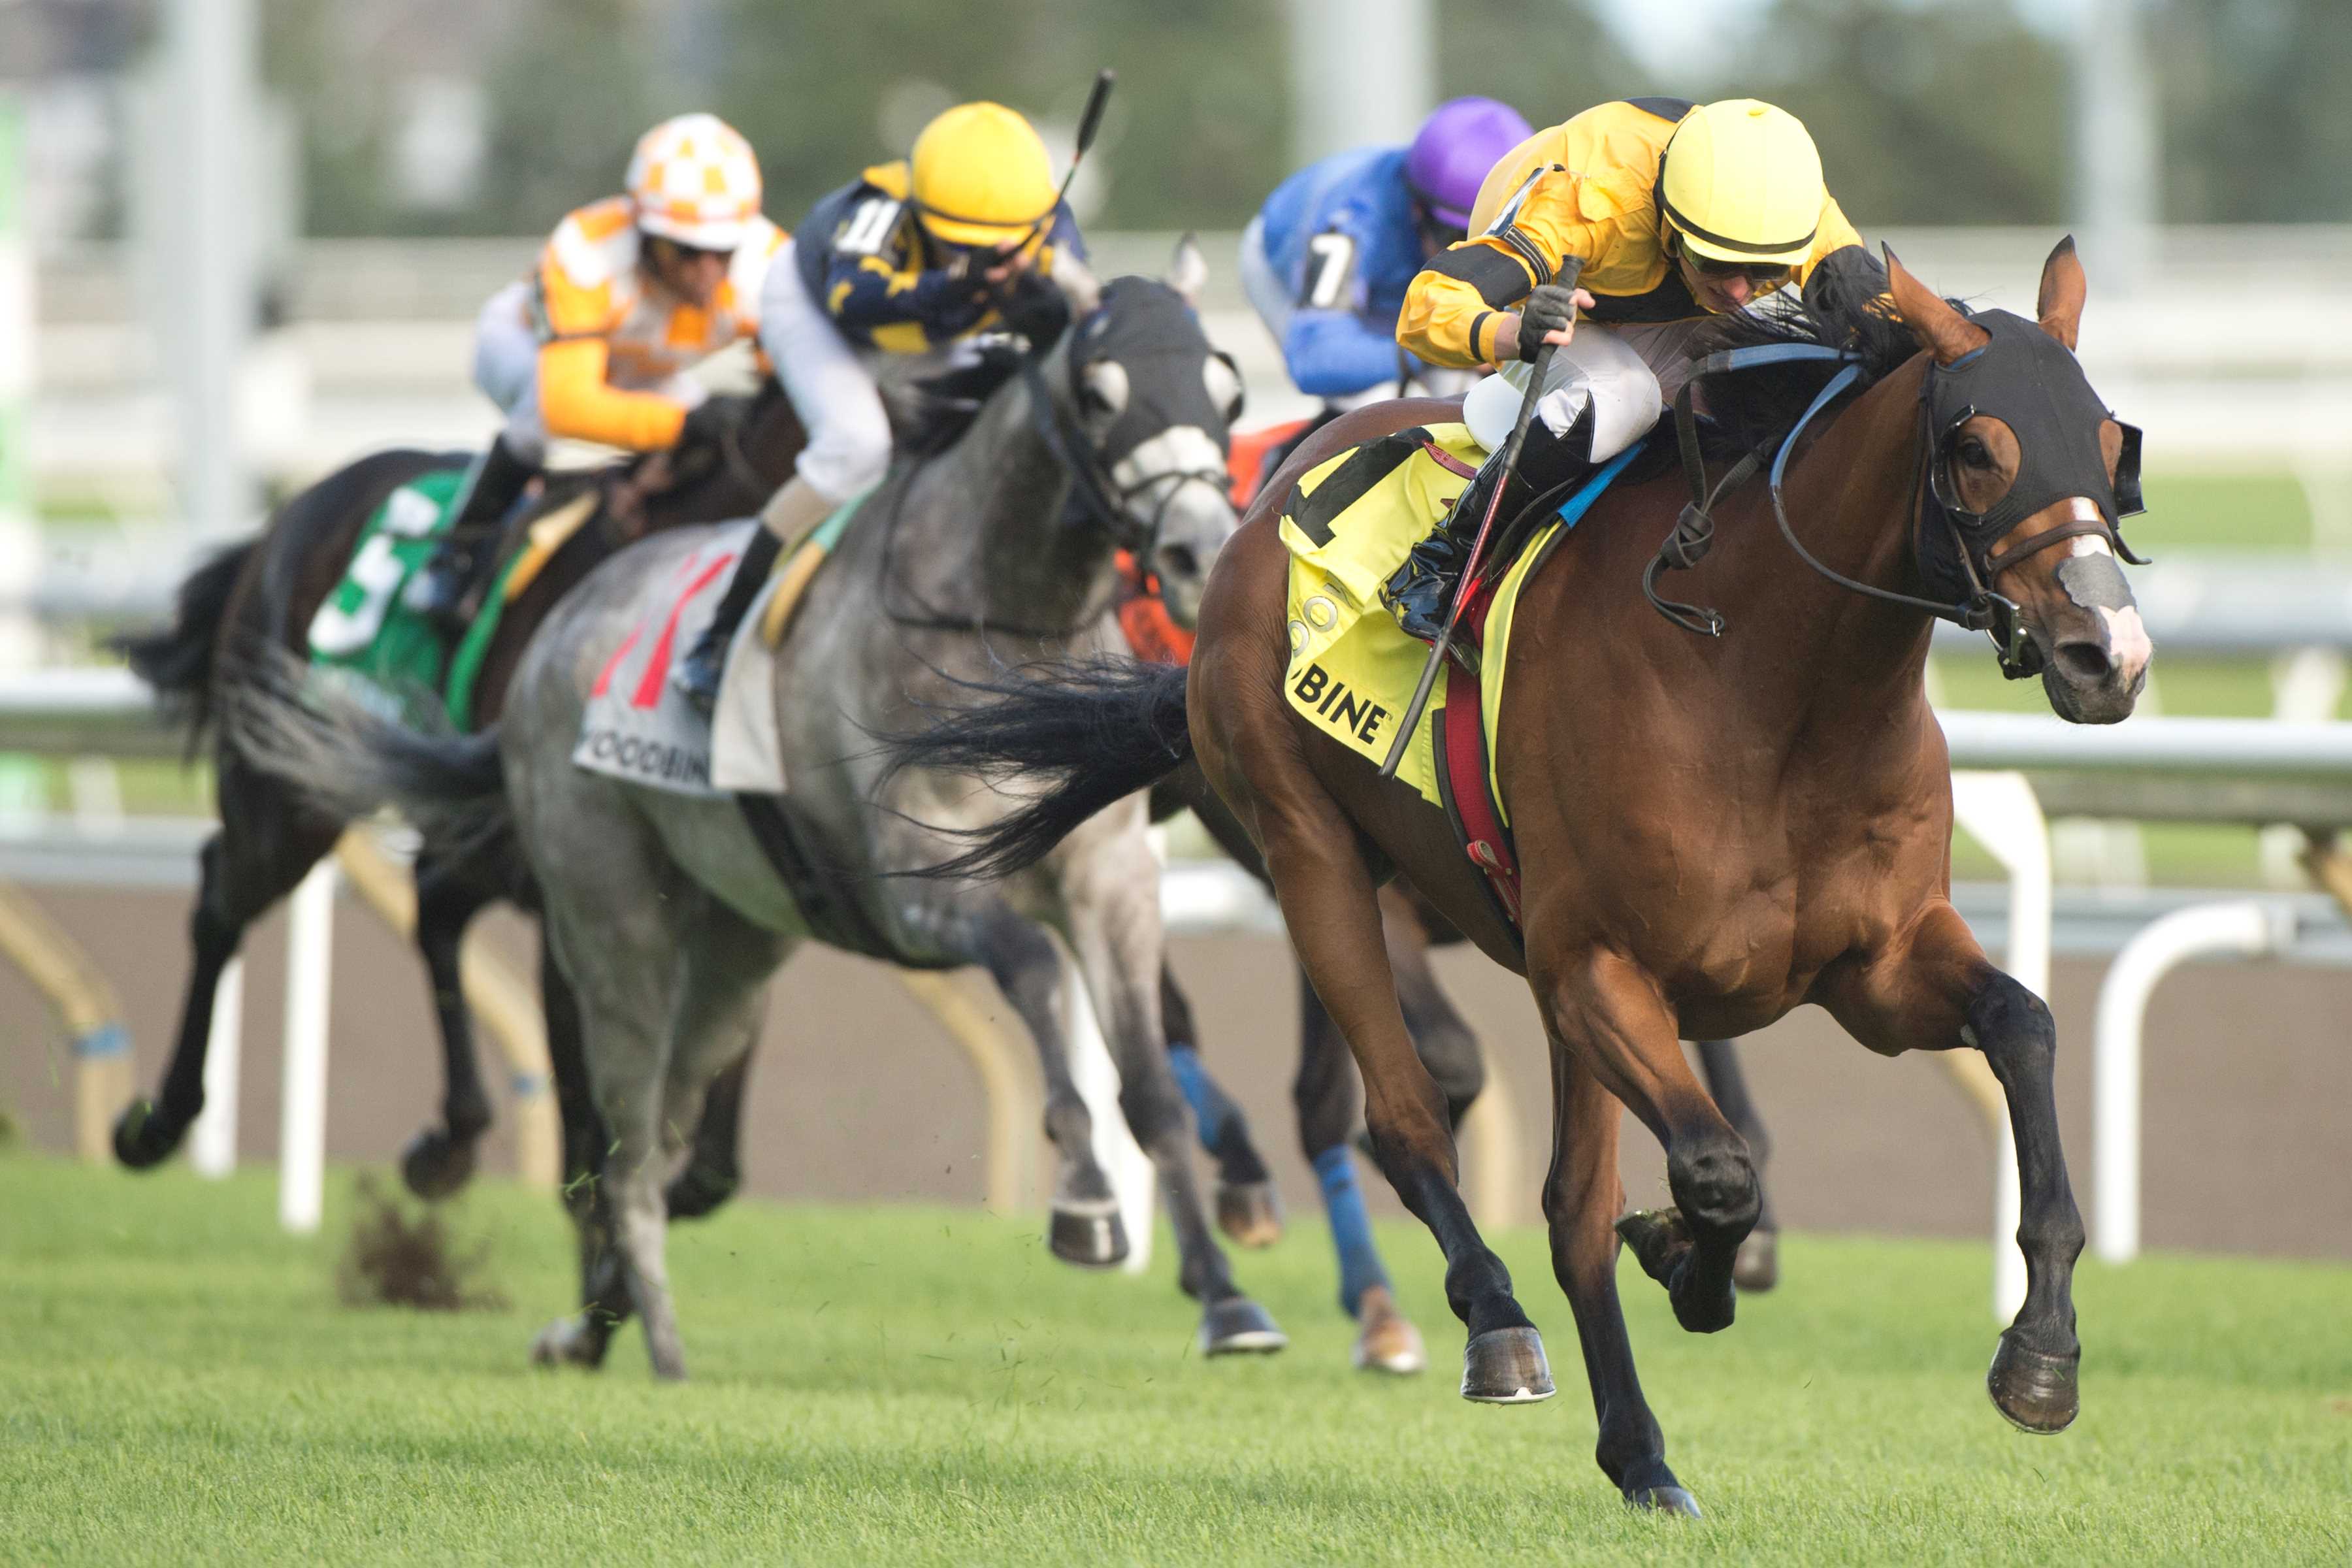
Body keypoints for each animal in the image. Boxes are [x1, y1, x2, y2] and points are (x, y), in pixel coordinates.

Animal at [246, 252, 1279, 1382]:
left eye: (1228, 392)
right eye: (1100, 395)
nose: (1200, 552)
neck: (997, 624)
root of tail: (553, 634)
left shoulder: (1112, 884)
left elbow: (1153, 1086)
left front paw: (1226, 1298)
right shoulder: (917, 887)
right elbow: (1035, 973)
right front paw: (1087, 1204)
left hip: (733, 948)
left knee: (665, 1121)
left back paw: (599, 1319)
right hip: (609, 922)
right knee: (622, 1135)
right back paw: (640, 1335)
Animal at [879, 242, 2154, 1504]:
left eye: (2109, 445)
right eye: (1980, 449)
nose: (2112, 655)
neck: (1770, 684)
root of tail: (1257, 513)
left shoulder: (1870, 970)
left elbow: (2023, 1025)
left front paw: (2041, 1353)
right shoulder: (1596, 965)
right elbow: (1713, 1171)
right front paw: (1688, 1261)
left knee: (1571, 1204)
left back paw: (1641, 1455)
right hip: (1312, 857)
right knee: (1404, 1119)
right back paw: (1495, 1325)